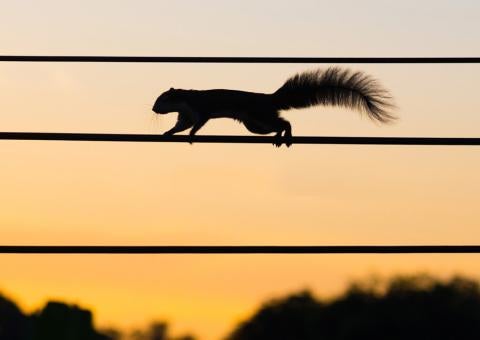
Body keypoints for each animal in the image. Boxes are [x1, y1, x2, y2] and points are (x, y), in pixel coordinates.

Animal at [152, 67, 396, 145]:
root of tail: (268, 98)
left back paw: (286, 134)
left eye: (162, 99)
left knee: (284, 121)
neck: (185, 101)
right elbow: (180, 125)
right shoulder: (185, 114)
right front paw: (168, 133)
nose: (153, 109)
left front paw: (192, 135)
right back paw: (279, 136)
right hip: (254, 125)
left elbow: (198, 123)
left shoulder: (200, 109)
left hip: (258, 116)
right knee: (278, 123)